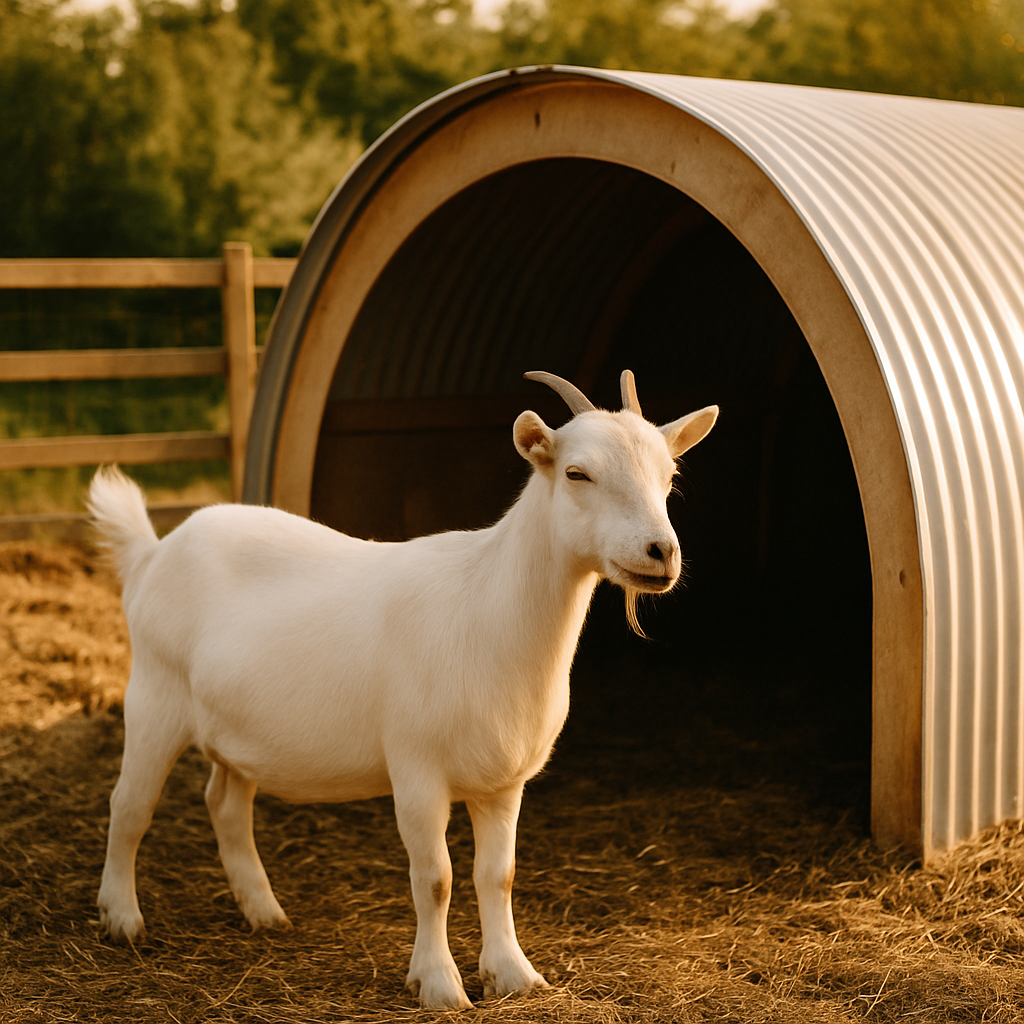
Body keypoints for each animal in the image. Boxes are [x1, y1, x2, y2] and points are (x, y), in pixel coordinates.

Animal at [88, 370, 717, 1009]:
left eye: (669, 476)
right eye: (576, 473)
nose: (660, 552)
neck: (485, 606)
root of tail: (153, 553)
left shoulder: (503, 781)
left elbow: (498, 875)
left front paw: (513, 974)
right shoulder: (417, 768)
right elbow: (434, 878)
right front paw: (439, 984)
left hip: (236, 729)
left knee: (226, 804)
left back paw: (264, 911)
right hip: (154, 695)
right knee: (129, 804)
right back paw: (122, 918)